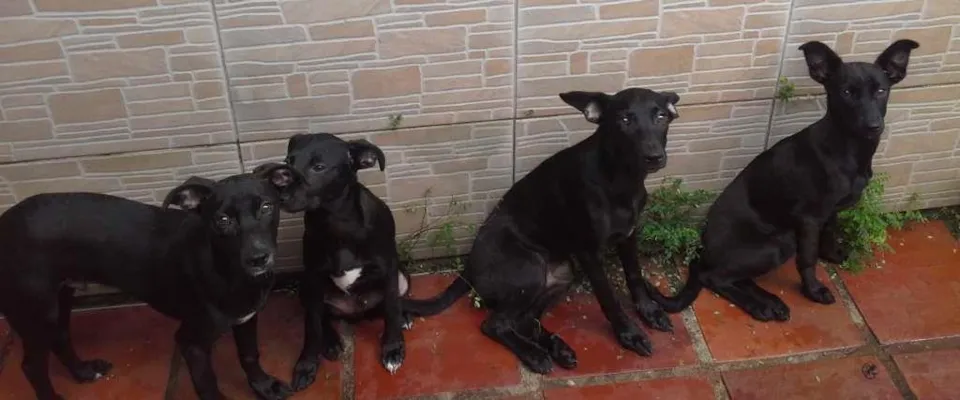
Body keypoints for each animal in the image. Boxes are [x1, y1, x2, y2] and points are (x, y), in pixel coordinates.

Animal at [0, 164, 308, 400]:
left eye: (267, 206)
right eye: (222, 220)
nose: (258, 258)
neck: (225, 269)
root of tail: (4, 222)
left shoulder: (246, 318)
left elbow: (249, 355)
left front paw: (264, 386)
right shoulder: (191, 342)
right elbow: (208, 386)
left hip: (59, 299)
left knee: (61, 337)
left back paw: (83, 371)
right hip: (35, 311)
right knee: (31, 366)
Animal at [270, 133, 409, 390]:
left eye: (319, 167)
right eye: (288, 162)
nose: (279, 197)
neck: (337, 222)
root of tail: (354, 313)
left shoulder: (389, 268)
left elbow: (392, 308)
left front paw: (393, 348)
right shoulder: (313, 275)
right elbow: (312, 326)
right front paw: (307, 364)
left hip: (402, 277)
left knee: (390, 302)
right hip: (306, 287)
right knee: (321, 315)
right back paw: (331, 341)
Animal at [399, 88, 681, 373]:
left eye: (661, 116)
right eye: (624, 120)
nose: (654, 157)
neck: (621, 180)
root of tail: (468, 268)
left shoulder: (629, 236)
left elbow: (634, 275)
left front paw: (649, 311)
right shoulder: (588, 252)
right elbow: (608, 297)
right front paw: (628, 334)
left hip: (561, 275)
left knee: (522, 321)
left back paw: (558, 349)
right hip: (531, 268)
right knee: (494, 324)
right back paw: (534, 355)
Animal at [645, 39, 920, 321]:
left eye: (881, 90)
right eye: (846, 92)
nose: (873, 126)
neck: (847, 147)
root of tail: (704, 248)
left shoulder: (831, 211)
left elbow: (830, 232)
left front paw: (832, 254)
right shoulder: (809, 219)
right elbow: (807, 259)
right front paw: (813, 290)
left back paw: (769, 302)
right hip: (777, 244)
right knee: (712, 277)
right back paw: (760, 305)